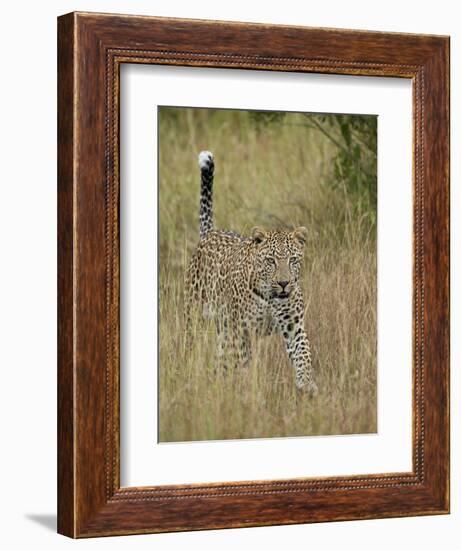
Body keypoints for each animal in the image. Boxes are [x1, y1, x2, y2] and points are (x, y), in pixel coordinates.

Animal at [183, 149, 316, 394]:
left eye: (293, 259)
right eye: (271, 261)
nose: (284, 283)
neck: (271, 297)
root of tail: (209, 233)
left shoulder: (294, 325)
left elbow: (303, 353)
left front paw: (306, 385)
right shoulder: (241, 330)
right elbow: (242, 361)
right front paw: (245, 388)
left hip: (223, 329)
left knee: (221, 358)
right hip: (195, 315)